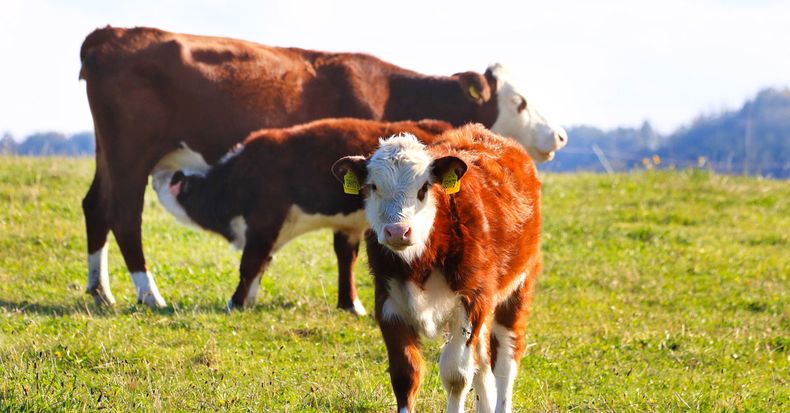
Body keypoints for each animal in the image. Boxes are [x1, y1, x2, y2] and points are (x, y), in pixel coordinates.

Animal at [331, 125, 541, 412]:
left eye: (423, 188)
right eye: (373, 187)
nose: (398, 231)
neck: (419, 262)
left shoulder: (472, 301)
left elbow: (456, 375)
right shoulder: (388, 304)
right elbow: (405, 374)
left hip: (518, 287)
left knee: (505, 360)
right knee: (483, 361)